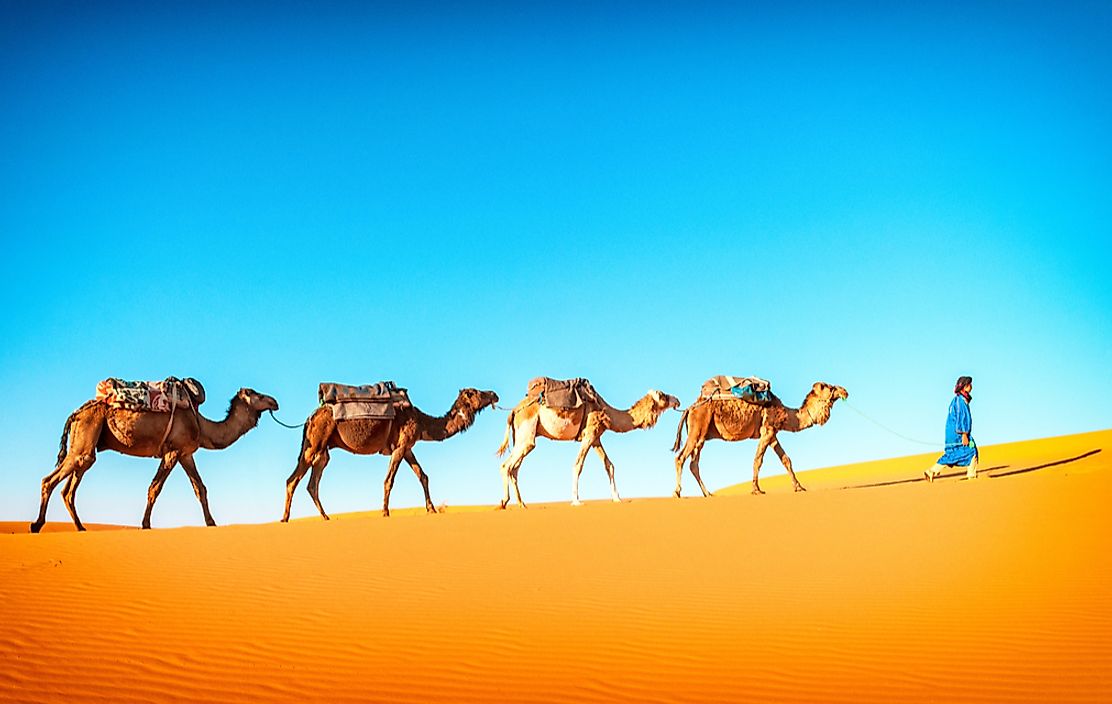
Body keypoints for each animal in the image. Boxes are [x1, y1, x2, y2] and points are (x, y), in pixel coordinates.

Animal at [31, 387, 278, 529]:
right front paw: (145, 525)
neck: (201, 425)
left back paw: (80, 528)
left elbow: (200, 488)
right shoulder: (172, 452)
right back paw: (36, 525)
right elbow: (155, 488)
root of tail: (76, 413)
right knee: (50, 480)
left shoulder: (186, 453)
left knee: (68, 489)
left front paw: (211, 523)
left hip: (86, 443)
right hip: (86, 436)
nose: (275, 401)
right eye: (257, 394)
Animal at [282, 387, 500, 518]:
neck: (422, 422)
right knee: (293, 479)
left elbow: (423, 475)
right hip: (315, 442)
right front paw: (385, 512)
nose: (494, 394)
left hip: (322, 449)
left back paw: (325, 517)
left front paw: (431, 509)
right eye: (477, 392)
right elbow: (389, 480)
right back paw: (285, 519)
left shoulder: (407, 448)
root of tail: (311, 416)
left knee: (312, 483)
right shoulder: (401, 446)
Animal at [495, 384, 676, 504]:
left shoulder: (596, 438)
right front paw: (576, 501)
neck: (606, 411)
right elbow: (578, 465)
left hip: (522, 438)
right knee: (506, 466)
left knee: (514, 469)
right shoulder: (589, 435)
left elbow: (609, 465)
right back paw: (504, 502)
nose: (677, 400)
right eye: (664, 396)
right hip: (527, 436)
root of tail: (514, 411)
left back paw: (522, 505)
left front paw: (617, 498)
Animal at [671, 382, 845, 496]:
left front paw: (799, 487)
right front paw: (756, 489)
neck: (787, 415)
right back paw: (677, 493)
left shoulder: (773, 434)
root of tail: (689, 408)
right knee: (680, 458)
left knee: (694, 464)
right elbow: (758, 460)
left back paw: (708, 493)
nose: (845, 391)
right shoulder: (766, 430)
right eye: (830, 387)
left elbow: (786, 459)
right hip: (697, 429)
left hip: (701, 435)